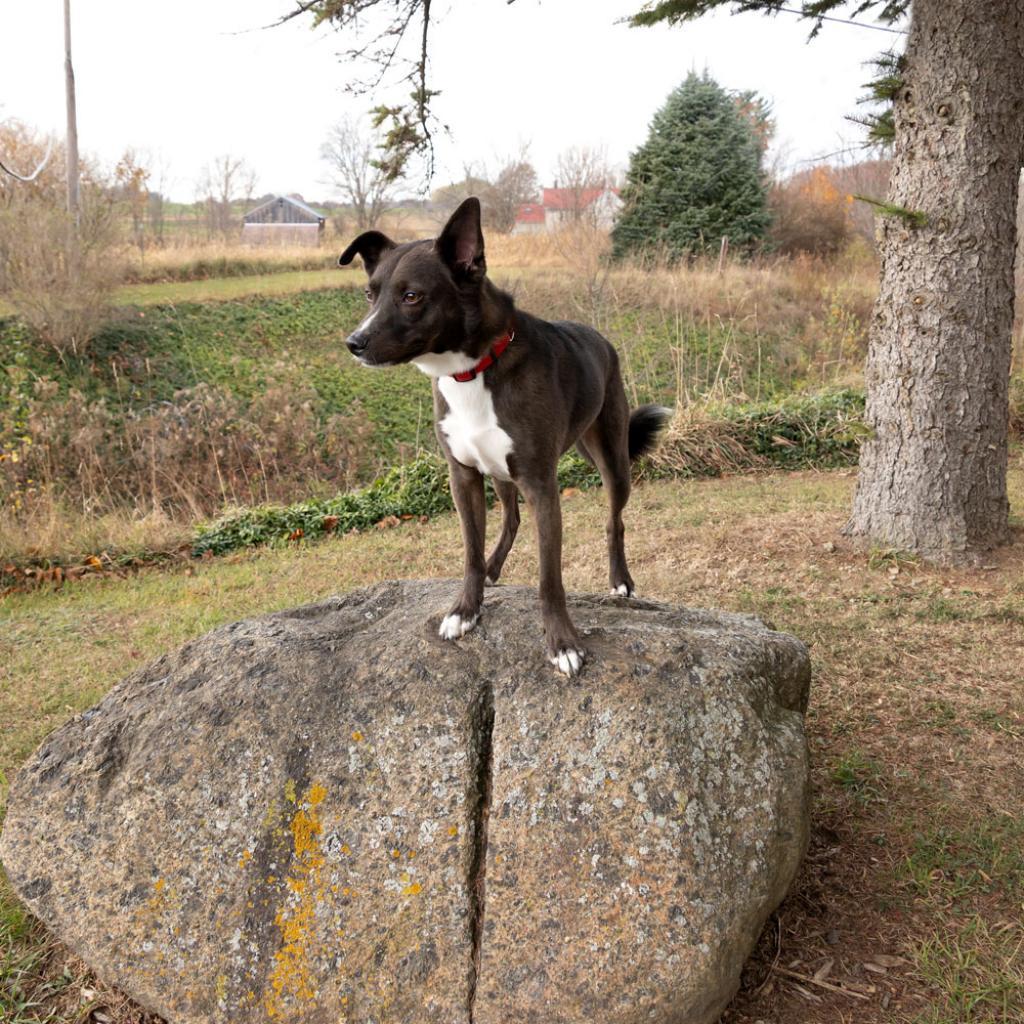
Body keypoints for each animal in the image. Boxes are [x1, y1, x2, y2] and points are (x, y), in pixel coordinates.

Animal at [339, 195, 667, 675]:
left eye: (412, 296)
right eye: (370, 294)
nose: (354, 343)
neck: (472, 369)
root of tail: (599, 337)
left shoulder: (541, 485)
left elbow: (550, 578)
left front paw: (562, 643)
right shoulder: (463, 476)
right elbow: (471, 554)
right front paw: (465, 609)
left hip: (612, 459)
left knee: (614, 520)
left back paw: (620, 580)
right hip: (498, 471)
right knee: (510, 520)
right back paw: (496, 568)